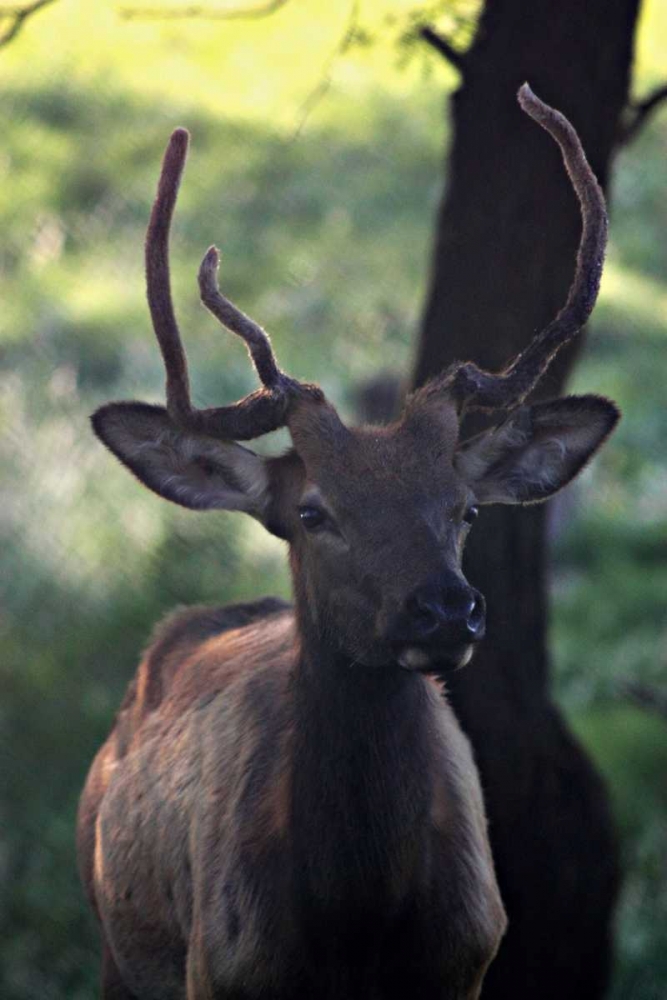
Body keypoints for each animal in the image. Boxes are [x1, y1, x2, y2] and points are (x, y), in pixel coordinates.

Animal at [77, 84, 619, 1000]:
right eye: (312, 513)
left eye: (466, 510)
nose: (444, 608)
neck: (356, 924)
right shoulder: (216, 969)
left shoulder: (469, 963)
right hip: (116, 943)